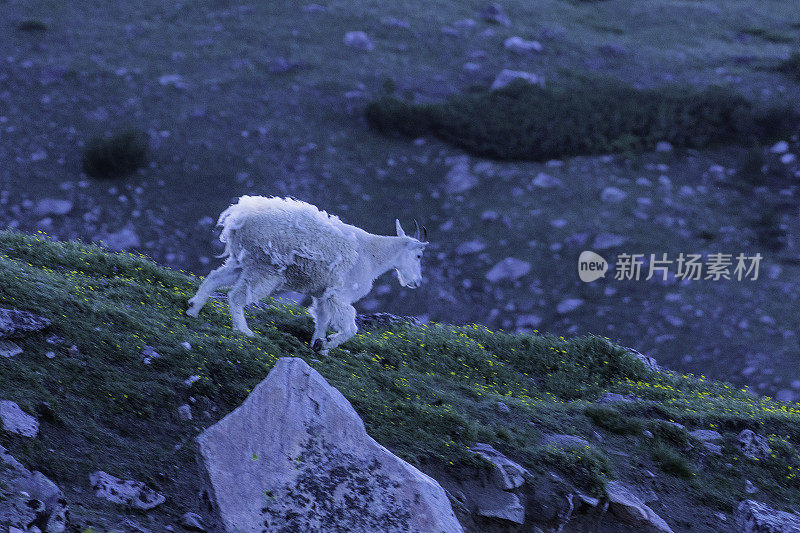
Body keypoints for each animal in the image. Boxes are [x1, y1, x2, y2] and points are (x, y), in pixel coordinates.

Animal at [188, 194, 428, 354]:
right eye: (418, 256)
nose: (416, 282)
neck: (372, 254)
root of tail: (238, 216)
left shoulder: (322, 294)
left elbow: (321, 319)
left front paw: (319, 346)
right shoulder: (339, 295)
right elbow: (349, 327)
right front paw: (327, 344)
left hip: (242, 261)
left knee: (215, 278)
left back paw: (193, 309)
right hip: (265, 268)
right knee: (237, 296)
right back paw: (244, 331)